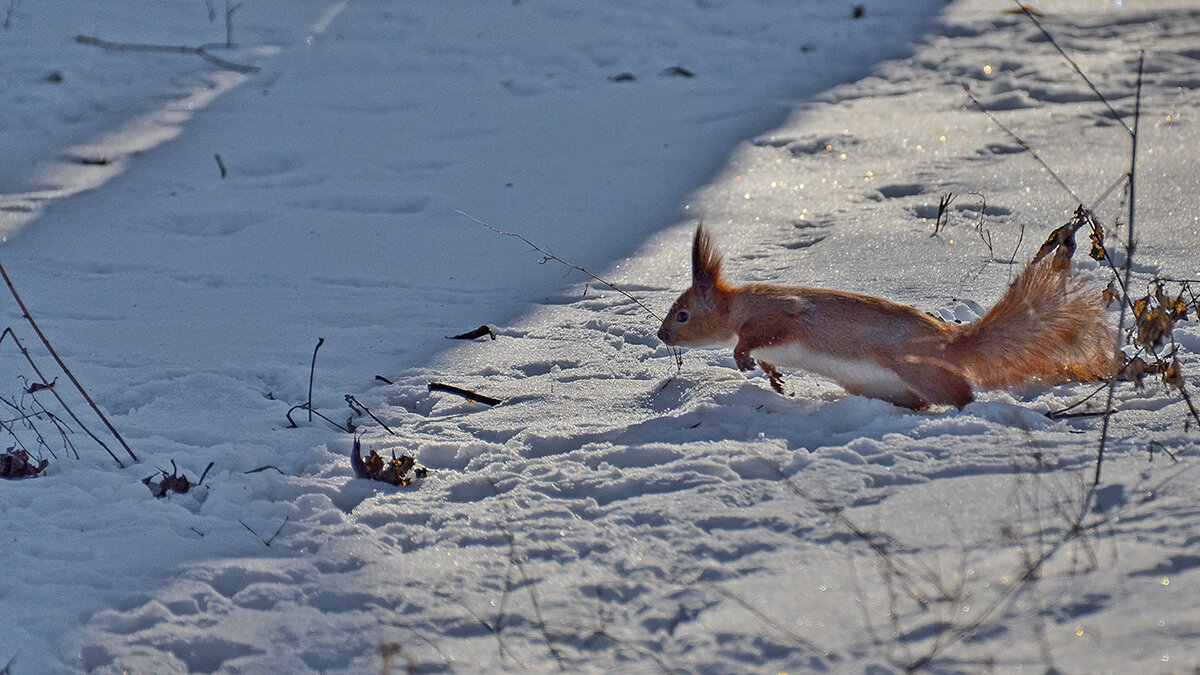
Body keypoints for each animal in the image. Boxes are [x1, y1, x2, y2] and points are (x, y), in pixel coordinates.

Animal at [657, 223, 1113, 408]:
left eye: (682, 316)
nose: (661, 337)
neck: (739, 306)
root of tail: (952, 344)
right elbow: (768, 358)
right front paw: (774, 378)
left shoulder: (780, 315)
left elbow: (758, 337)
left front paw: (743, 358)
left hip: (919, 369)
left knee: (959, 394)